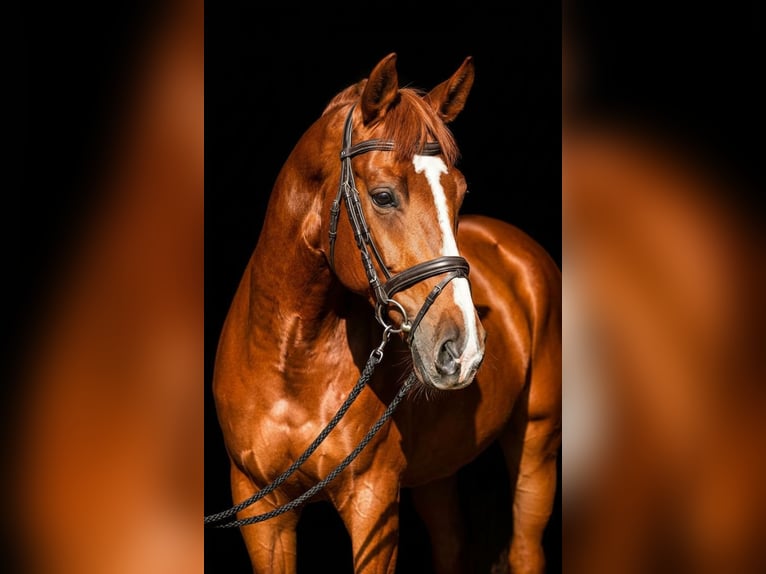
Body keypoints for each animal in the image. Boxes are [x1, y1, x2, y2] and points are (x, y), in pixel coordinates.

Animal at [209, 52, 561, 573]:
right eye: (382, 196)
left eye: (459, 194)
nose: (465, 351)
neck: (290, 358)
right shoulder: (261, 509)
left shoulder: (372, 501)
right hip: (438, 472)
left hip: (537, 445)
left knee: (524, 548)